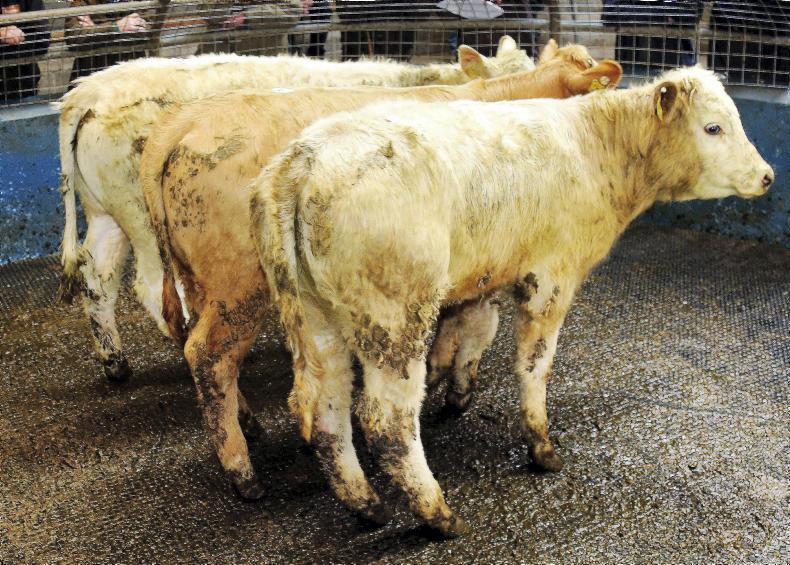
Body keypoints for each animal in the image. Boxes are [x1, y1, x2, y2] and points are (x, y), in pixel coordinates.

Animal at [56, 36, 532, 382]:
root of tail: (86, 92)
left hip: (107, 214)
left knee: (96, 275)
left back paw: (115, 363)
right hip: (141, 221)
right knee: (152, 289)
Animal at [139, 41, 622, 502]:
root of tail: (180, 123)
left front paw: (446, 376)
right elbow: (475, 326)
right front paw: (452, 385)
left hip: (200, 279)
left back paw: (250, 424)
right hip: (238, 284)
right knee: (209, 356)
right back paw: (244, 475)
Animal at [251, 67, 773, 536]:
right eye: (713, 127)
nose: (768, 176)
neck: (599, 148)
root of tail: (305, 158)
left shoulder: (488, 274)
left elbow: (478, 332)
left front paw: (460, 392)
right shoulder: (553, 276)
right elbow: (534, 364)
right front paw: (540, 445)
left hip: (315, 318)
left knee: (326, 408)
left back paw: (367, 505)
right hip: (394, 317)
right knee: (387, 420)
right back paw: (437, 514)